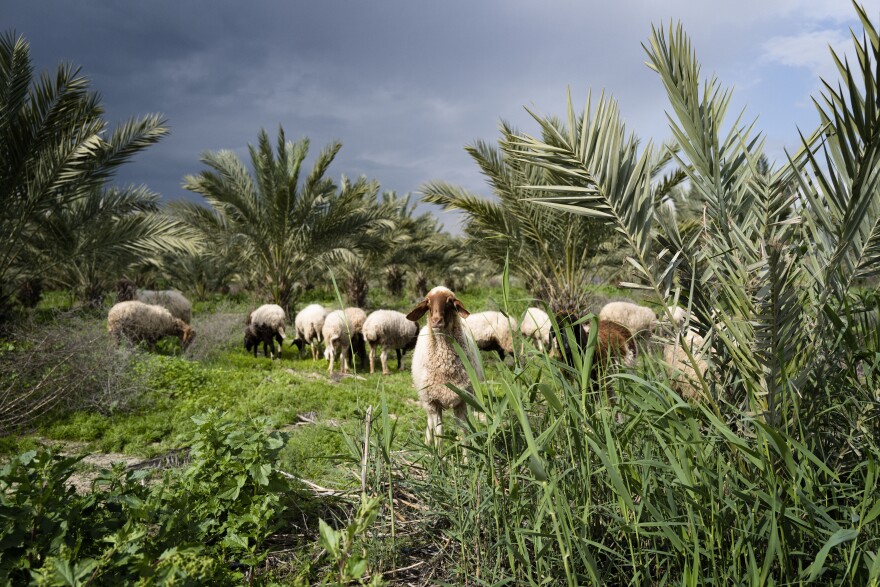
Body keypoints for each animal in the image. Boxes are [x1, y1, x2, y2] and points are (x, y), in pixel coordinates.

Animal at [408, 288, 484, 448]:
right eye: (428, 303)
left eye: (450, 302)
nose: (436, 321)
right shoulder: (434, 402)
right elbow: (440, 436)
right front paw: (438, 454)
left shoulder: (463, 401)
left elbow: (463, 433)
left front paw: (466, 454)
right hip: (427, 401)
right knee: (430, 423)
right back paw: (427, 444)